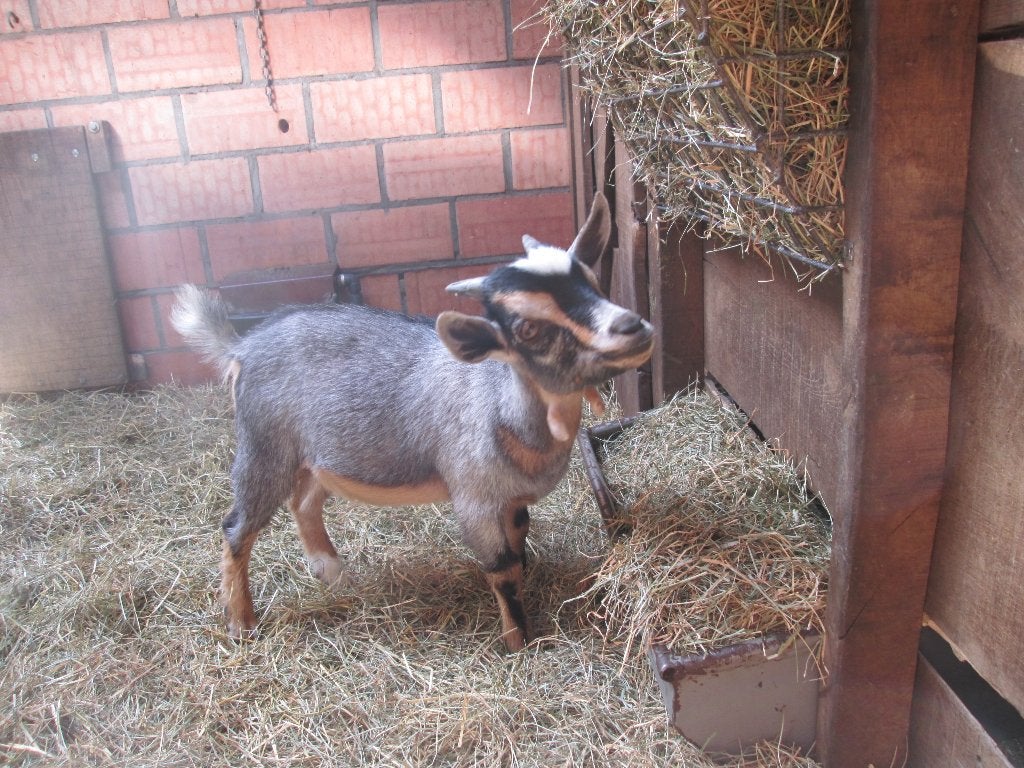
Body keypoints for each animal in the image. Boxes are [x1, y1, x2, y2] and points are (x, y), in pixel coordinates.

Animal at [170, 193, 654, 650]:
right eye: (527, 329)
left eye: (593, 282)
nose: (633, 327)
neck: (504, 406)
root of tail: (242, 346)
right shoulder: (474, 499)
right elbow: (501, 568)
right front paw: (520, 642)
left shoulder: (509, 498)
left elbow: (519, 541)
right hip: (263, 446)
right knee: (237, 526)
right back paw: (241, 623)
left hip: (314, 455)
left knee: (303, 502)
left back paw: (331, 571)